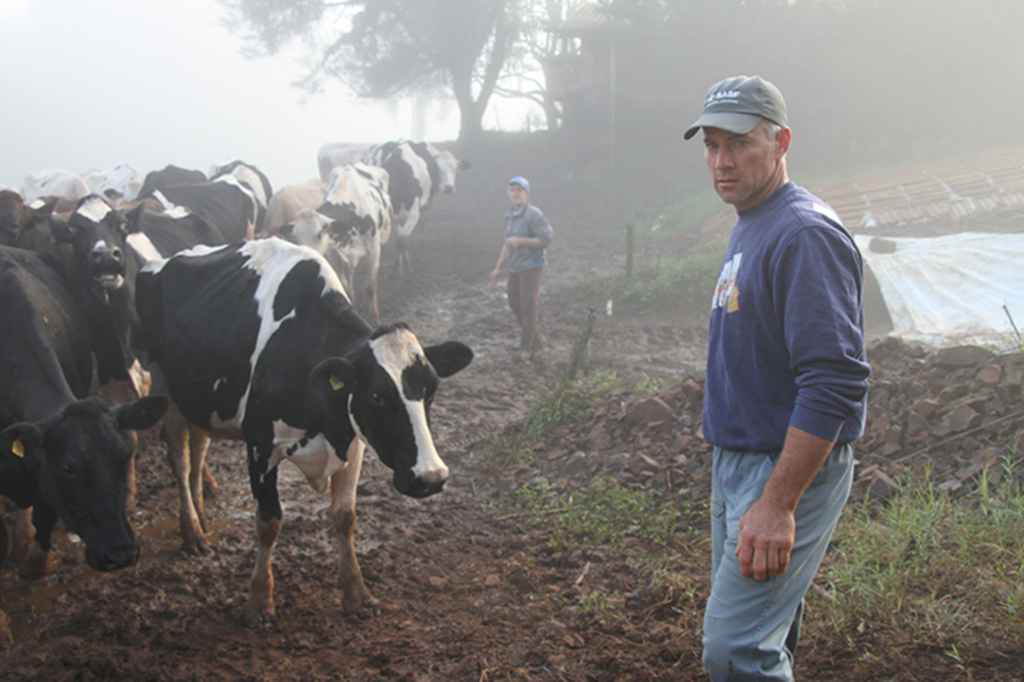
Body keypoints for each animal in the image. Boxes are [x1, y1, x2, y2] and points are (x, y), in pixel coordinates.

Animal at [134, 238, 473, 626]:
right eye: (376, 395)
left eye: (432, 389)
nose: (431, 478)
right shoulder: (260, 447)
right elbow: (269, 522)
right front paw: (259, 602)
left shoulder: (353, 443)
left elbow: (345, 517)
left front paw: (357, 594)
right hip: (163, 383)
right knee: (179, 457)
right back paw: (191, 531)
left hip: (200, 398)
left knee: (199, 444)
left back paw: (202, 515)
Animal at [288, 163, 391, 323]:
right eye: (295, 238)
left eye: (319, 234)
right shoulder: (333, 255)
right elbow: (345, 287)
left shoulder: (374, 252)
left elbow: (369, 286)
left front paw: (374, 318)